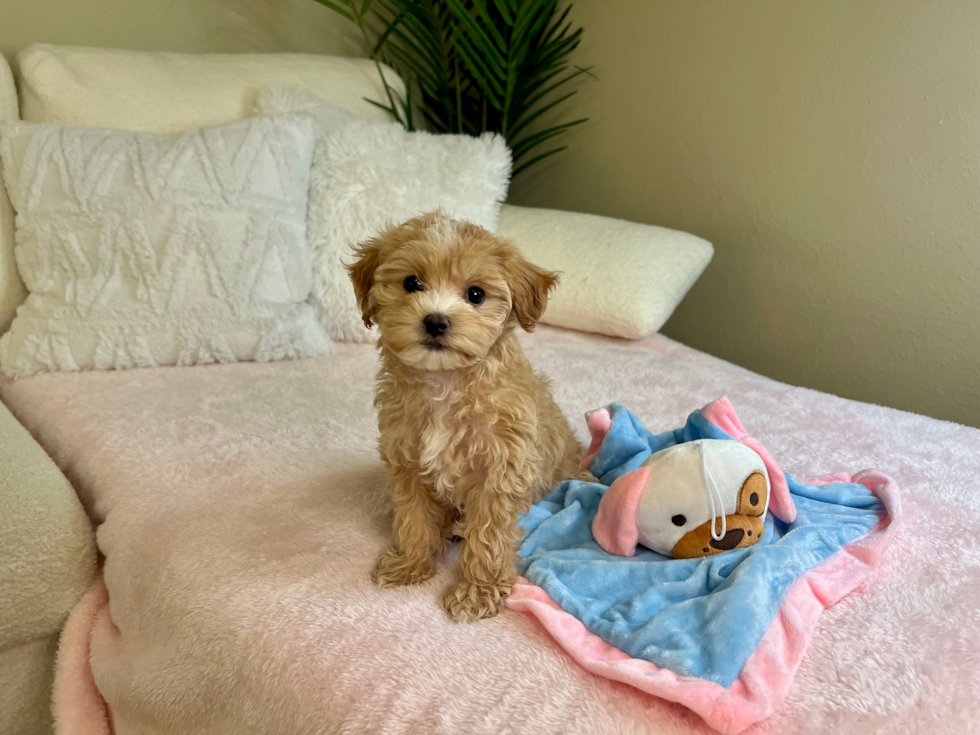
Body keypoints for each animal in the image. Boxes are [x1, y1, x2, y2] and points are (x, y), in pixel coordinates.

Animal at [350, 210, 584, 624]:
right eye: (411, 283)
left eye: (476, 294)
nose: (436, 321)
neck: (445, 381)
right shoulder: (407, 459)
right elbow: (414, 517)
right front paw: (411, 563)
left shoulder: (499, 470)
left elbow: (488, 536)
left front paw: (478, 590)